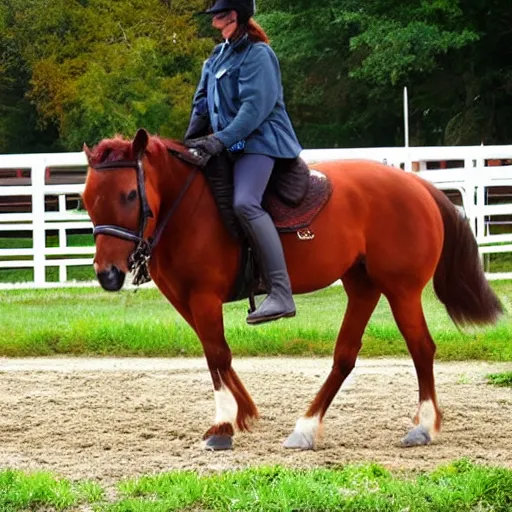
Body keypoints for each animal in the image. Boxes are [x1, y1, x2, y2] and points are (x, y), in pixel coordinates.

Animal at [83, 128, 504, 452]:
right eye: (86, 200)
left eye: (129, 195)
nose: (108, 275)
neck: (188, 207)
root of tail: (417, 184)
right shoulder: (186, 301)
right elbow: (217, 354)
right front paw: (244, 412)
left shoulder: (203, 297)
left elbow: (217, 354)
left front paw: (223, 426)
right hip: (362, 286)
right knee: (345, 356)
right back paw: (307, 427)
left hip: (401, 290)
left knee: (421, 348)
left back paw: (424, 425)